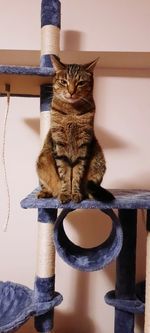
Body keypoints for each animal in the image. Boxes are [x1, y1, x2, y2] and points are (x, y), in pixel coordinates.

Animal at [36, 55, 113, 202]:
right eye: (63, 82)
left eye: (81, 83)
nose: (71, 92)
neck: (71, 112)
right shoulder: (59, 145)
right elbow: (65, 174)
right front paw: (65, 193)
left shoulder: (83, 146)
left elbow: (77, 174)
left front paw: (76, 194)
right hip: (42, 159)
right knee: (45, 183)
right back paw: (46, 192)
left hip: (99, 162)